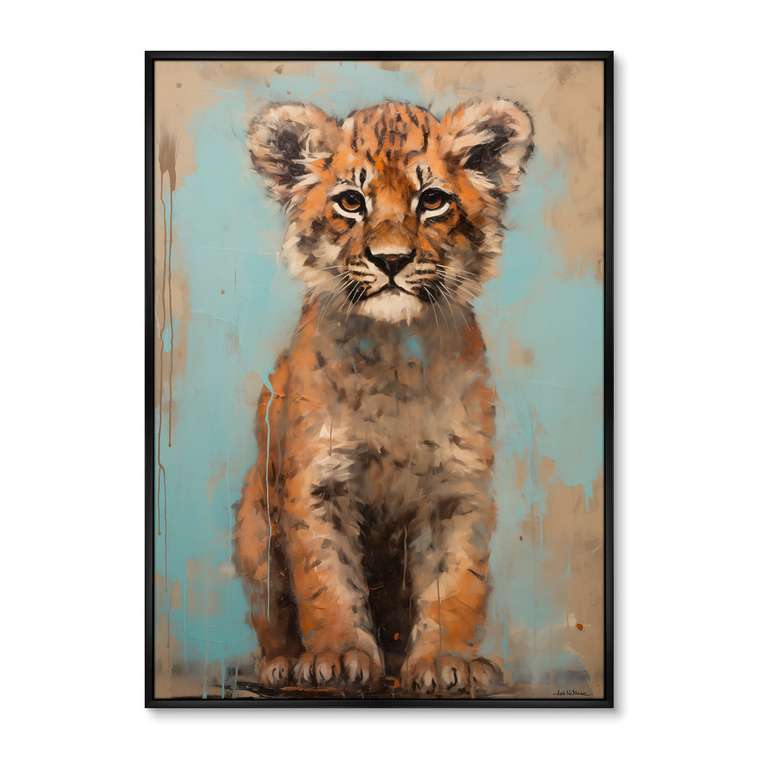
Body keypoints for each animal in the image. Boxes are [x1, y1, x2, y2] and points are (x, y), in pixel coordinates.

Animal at [234, 98, 534, 695]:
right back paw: (281, 663)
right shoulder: (318, 484)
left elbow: (454, 582)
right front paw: (337, 656)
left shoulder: (456, 488)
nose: (391, 261)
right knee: (271, 611)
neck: (395, 358)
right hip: (254, 527)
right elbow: (327, 581)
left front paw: (446, 662)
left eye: (432, 200)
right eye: (351, 202)